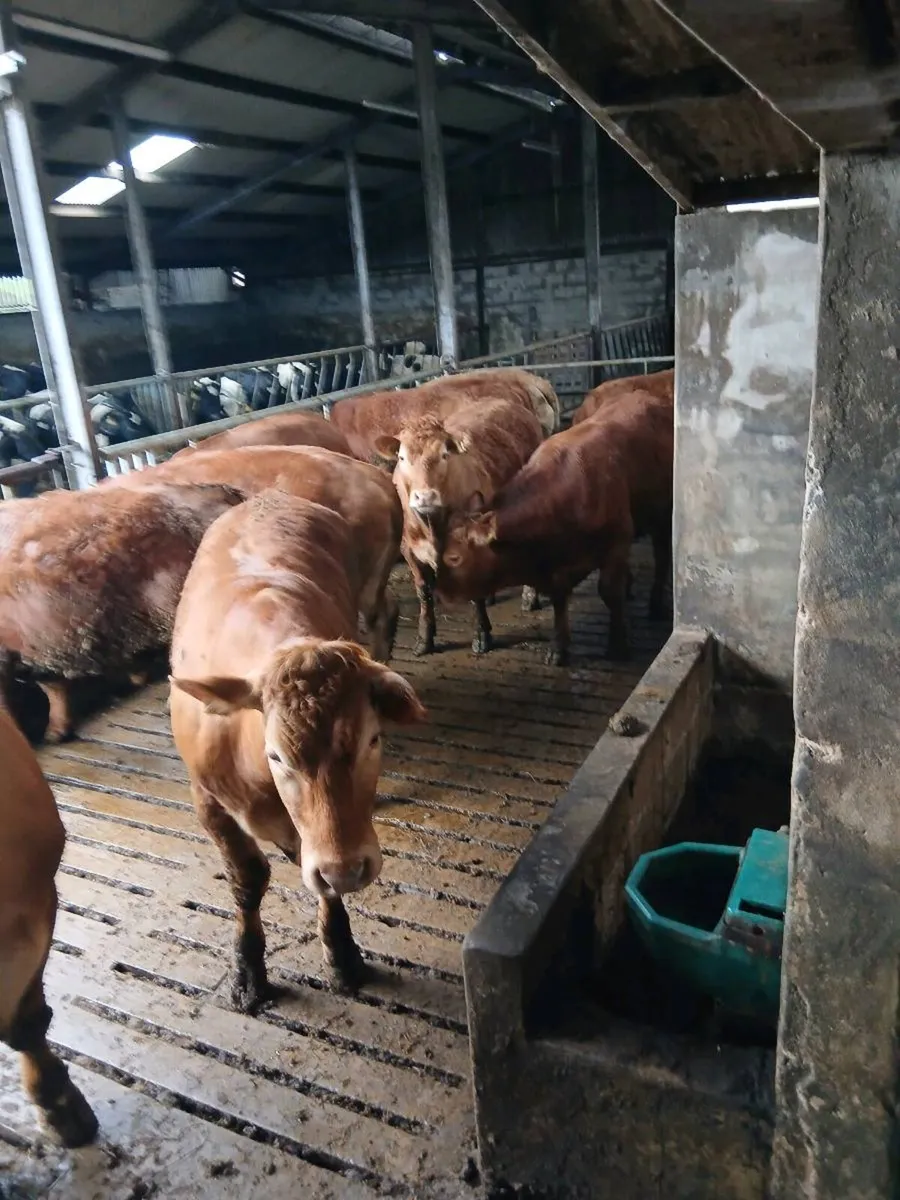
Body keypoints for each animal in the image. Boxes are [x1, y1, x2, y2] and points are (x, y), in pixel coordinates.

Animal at [169, 491, 426, 1013]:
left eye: (373, 739)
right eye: (276, 756)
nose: (347, 869)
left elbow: (317, 878)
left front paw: (343, 953)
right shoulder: (207, 801)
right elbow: (248, 880)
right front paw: (248, 970)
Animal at [373, 399, 544, 656]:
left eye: (444, 455)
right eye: (402, 458)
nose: (425, 497)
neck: (432, 525)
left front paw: (482, 636)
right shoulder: (409, 550)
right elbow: (423, 592)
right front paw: (424, 639)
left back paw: (529, 596)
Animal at [438, 386, 674, 666]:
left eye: (454, 558)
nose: (438, 592)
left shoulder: (617, 542)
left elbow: (609, 592)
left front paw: (618, 646)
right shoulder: (558, 565)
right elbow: (560, 598)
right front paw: (559, 648)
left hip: (663, 514)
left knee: (662, 557)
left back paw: (657, 604)